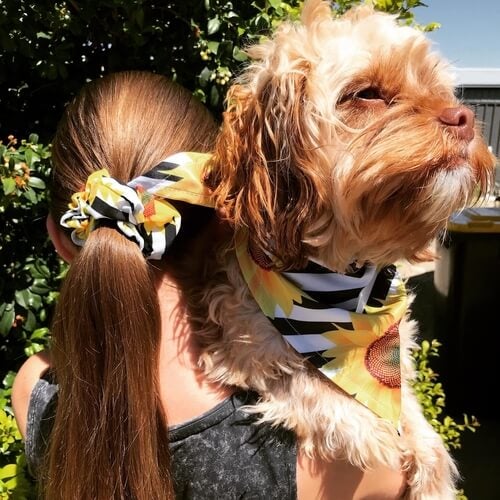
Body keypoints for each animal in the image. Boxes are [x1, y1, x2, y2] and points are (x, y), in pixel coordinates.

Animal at [188, 1, 496, 498]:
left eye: (435, 89)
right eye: (366, 94)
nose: (464, 117)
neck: (343, 285)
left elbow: (410, 405)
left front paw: (431, 465)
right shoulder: (236, 349)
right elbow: (302, 380)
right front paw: (369, 424)